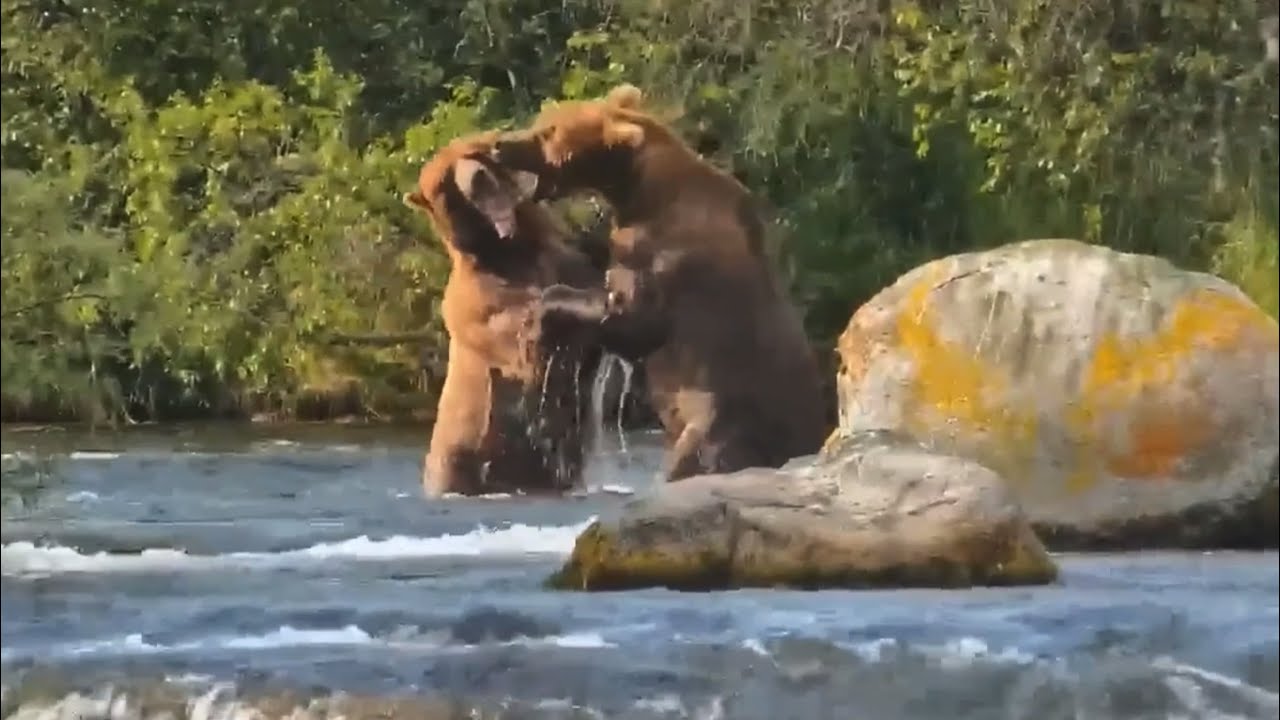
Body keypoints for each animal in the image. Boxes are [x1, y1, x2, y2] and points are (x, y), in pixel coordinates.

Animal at [402, 131, 605, 497]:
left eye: (474, 151)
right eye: (444, 186)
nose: (477, 180)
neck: (510, 250)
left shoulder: (560, 258)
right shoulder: (479, 306)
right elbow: (524, 339)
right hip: (459, 460)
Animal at [492, 85, 830, 482]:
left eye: (547, 133)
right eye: (543, 123)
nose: (500, 143)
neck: (635, 191)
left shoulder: (665, 259)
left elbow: (632, 320)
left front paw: (540, 324)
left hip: (721, 423)